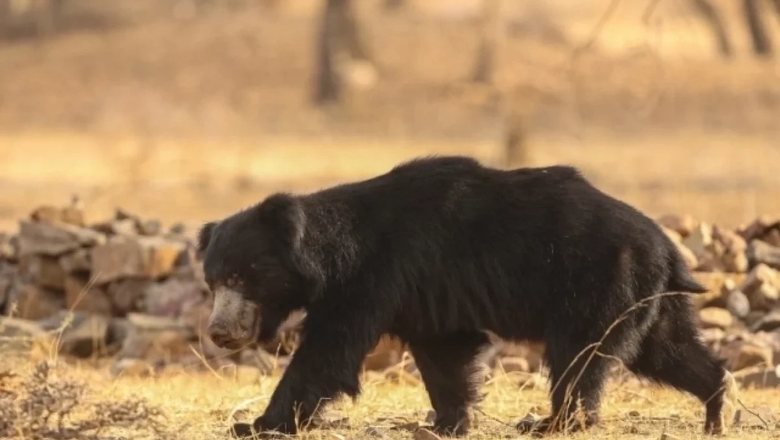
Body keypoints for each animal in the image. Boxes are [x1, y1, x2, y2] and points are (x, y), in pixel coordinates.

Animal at [197, 156, 731, 438]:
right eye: (213, 281)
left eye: (243, 277)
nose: (219, 333)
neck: (331, 254)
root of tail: (668, 247)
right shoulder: (425, 296)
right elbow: (445, 355)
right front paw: (444, 423)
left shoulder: (372, 278)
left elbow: (328, 353)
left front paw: (256, 424)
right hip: (645, 298)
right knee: (667, 351)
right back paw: (715, 408)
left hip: (597, 281)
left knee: (581, 355)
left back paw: (550, 422)